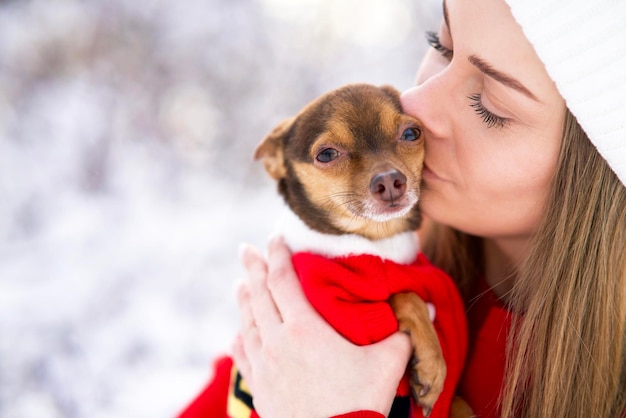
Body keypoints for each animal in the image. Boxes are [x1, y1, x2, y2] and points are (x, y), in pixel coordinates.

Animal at [241, 83, 466, 416]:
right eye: (326, 154)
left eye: (411, 133)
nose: (390, 181)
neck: (377, 241)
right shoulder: (352, 316)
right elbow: (406, 297)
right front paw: (432, 365)